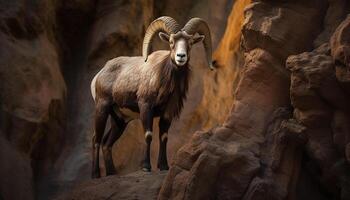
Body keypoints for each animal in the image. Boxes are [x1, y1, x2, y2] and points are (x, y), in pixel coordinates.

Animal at [89, 16, 213, 178]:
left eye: (190, 43)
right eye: (171, 42)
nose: (181, 57)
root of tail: (99, 75)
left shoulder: (167, 113)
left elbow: (164, 137)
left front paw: (164, 166)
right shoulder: (146, 107)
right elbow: (148, 135)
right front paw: (146, 167)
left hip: (120, 120)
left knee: (106, 143)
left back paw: (112, 173)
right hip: (102, 109)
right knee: (96, 139)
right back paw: (95, 175)